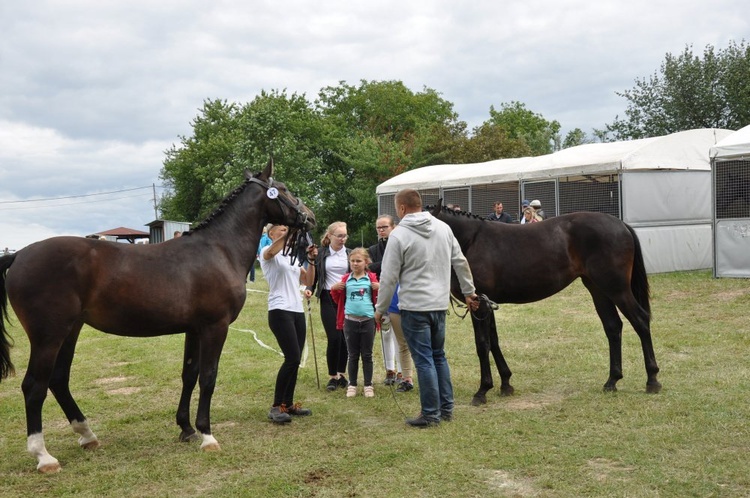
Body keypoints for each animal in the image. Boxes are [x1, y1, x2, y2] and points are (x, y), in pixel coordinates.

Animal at [0, 161, 314, 472]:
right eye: (283, 188)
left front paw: (186, 429)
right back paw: (44, 456)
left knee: (58, 381)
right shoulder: (215, 327)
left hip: (71, 330)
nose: (310, 217)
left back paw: (87, 435)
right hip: (48, 337)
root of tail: (19, 255)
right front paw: (207, 435)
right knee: (34, 386)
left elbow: (189, 374)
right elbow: (208, 377)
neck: (219, 250)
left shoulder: (194, 329)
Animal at [428, 200, 664, 406]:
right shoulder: (488, 305)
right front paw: (506, 383)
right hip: (598, 289)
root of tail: (621, 224)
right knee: (613, 327)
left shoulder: (479, 304)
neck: (472, 241)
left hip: (616, 289)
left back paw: (652, 380)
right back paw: (612, 380)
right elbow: (494, 341)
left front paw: (482, 390)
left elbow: (483, 344)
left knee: (640, 321)